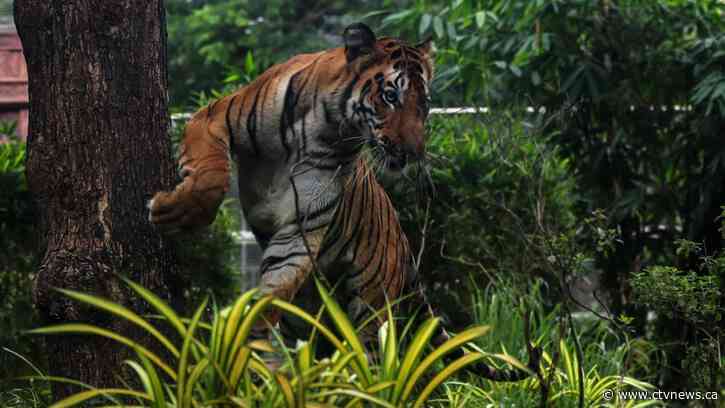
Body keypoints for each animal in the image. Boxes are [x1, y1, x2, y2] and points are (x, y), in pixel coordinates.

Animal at [149, 22, 538, 381]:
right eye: (391, 96)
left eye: (424, 103)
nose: (413, 152)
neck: (328, 127)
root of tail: (403, 240)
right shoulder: (216, 115)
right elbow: (210, 176)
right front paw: (175, 213)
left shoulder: (303, 222)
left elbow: (276, 285)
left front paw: (250, 338)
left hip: (370, 303)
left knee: (369, 354)